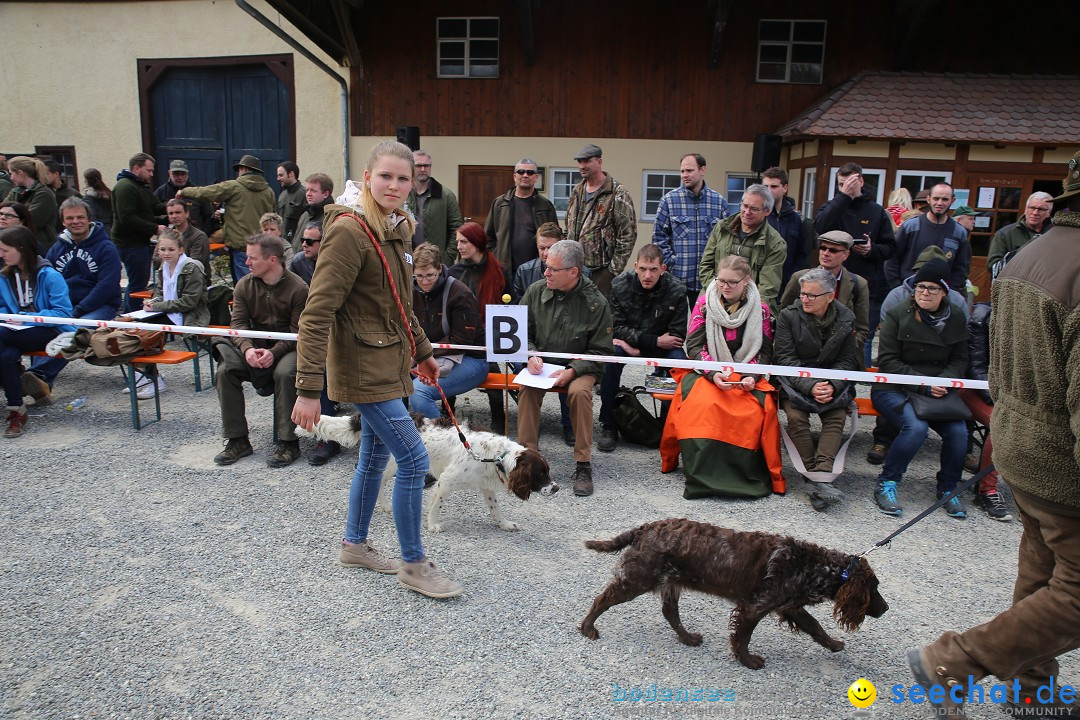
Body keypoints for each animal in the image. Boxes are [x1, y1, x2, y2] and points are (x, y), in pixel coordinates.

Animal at [578, 518, 889, 669]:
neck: (808, 564)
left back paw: (688, 638)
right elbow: (743, 637)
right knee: (602, 599)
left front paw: (834, 645)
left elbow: (815, 627)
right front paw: (748, 661)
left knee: (670, 613)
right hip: (639, 578)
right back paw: (587, 628)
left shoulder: (788, 605)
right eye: (874, 589)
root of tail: (644, 529)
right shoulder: (755, 606)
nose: (886, 608)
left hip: (670, 581)